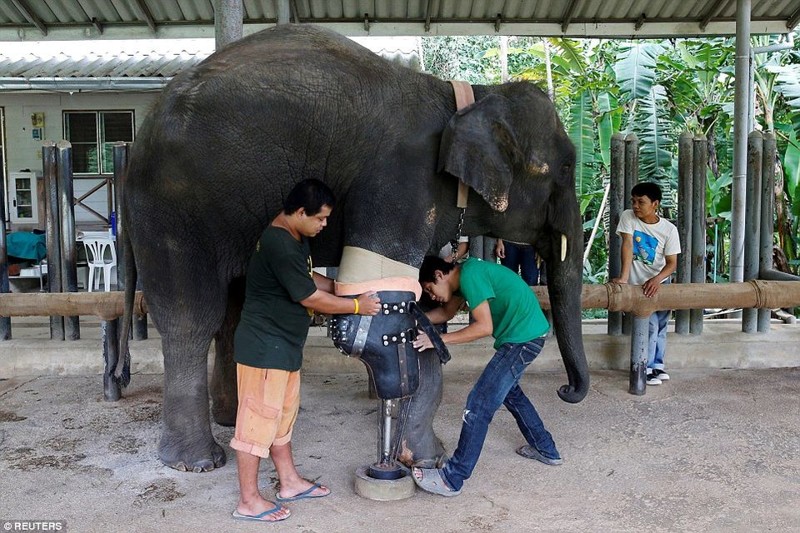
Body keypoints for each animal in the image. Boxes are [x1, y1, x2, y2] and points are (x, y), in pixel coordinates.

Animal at [119, 22, 592, 472]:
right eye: (566, 166)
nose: (566, 390)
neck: (465, 95)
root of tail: (135, 145)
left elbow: (418, 308)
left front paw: (418, 453)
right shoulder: (398, 183)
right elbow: (389, 312)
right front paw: (424, 458)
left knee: (232, 310)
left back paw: (234, 422)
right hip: (175, 211)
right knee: (191, 317)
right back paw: (196, 461)